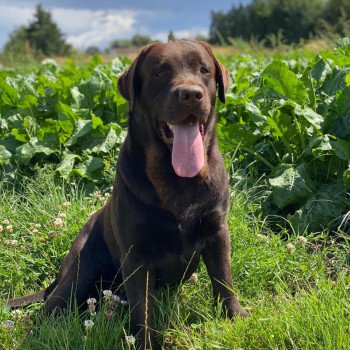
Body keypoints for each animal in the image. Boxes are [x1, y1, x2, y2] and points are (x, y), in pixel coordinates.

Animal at [6, 40, 247, 348]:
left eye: (204, 70)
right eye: (160, 72)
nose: (191, 94)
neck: (174, 177)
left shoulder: (217, 231)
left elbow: (224, 280)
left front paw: (235, 318)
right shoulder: (136, 254)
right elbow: (142, 311)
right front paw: (145, 344)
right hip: (81, 272)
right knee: (49, 309)